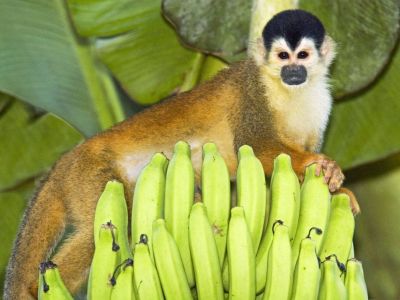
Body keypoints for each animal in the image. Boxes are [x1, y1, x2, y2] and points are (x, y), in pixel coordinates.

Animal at [3, 8, 356, 298]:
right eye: (283, 56)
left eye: (303, 55)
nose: (293, 71)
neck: (288, 90)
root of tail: (63, 162)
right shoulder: (252, 90)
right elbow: (258, 146)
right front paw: (320, 164)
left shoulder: (322, 105)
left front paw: (338, 188)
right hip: (89, 174)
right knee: (99, 231)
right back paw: (42, 286)